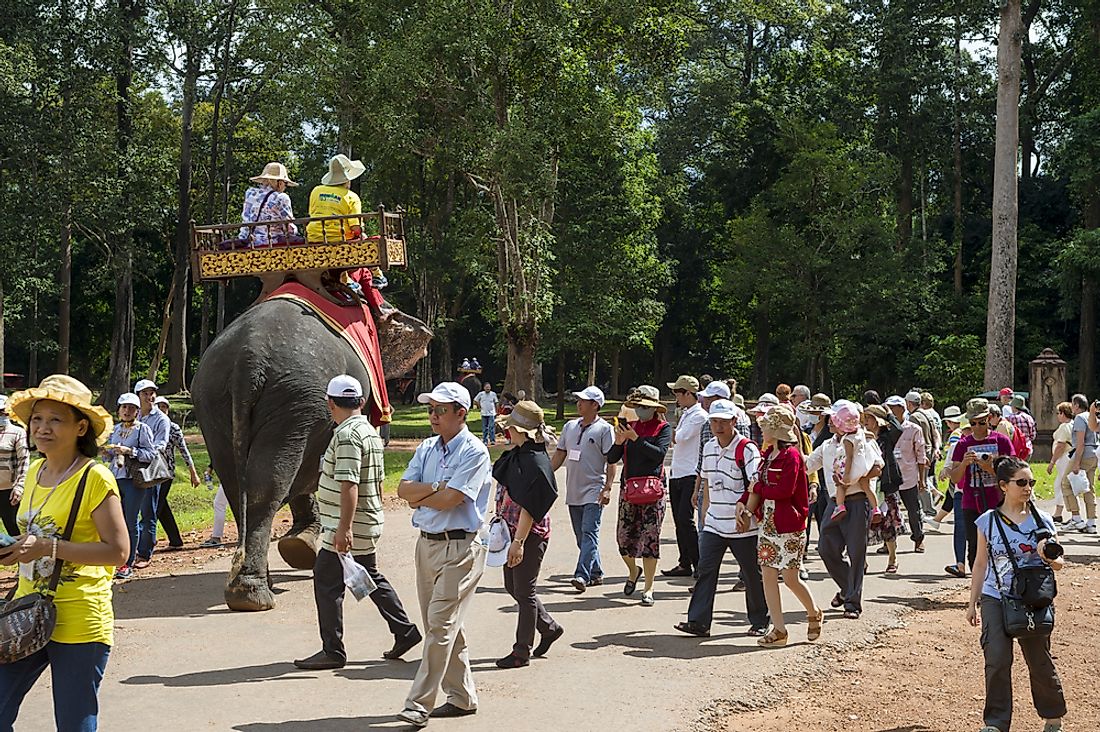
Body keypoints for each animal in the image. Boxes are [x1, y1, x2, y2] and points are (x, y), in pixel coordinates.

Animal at [191, 297, 431, 612]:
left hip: (216, 401)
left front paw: (300, 546)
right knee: (267, 485)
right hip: (297, 400)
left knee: (237, 484)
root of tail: (248, 358)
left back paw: (249, 588)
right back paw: (254, 596)